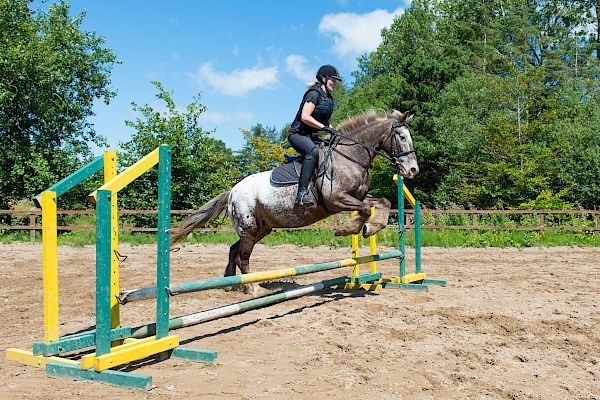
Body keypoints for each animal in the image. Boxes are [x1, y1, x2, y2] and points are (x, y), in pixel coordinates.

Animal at [171, 111, 418, 292]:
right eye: (402, 137)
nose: (413, 170)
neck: (350, 158)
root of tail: (233, 190)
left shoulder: (356, 197)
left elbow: (383, 203)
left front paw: (371, 228)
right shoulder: (337, 200)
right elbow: (366, 209)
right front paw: (347, 229)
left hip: (261, 228)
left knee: (234, 250)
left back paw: (230, 285)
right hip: (249, 228)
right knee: (243, 257)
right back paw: (251, 289)